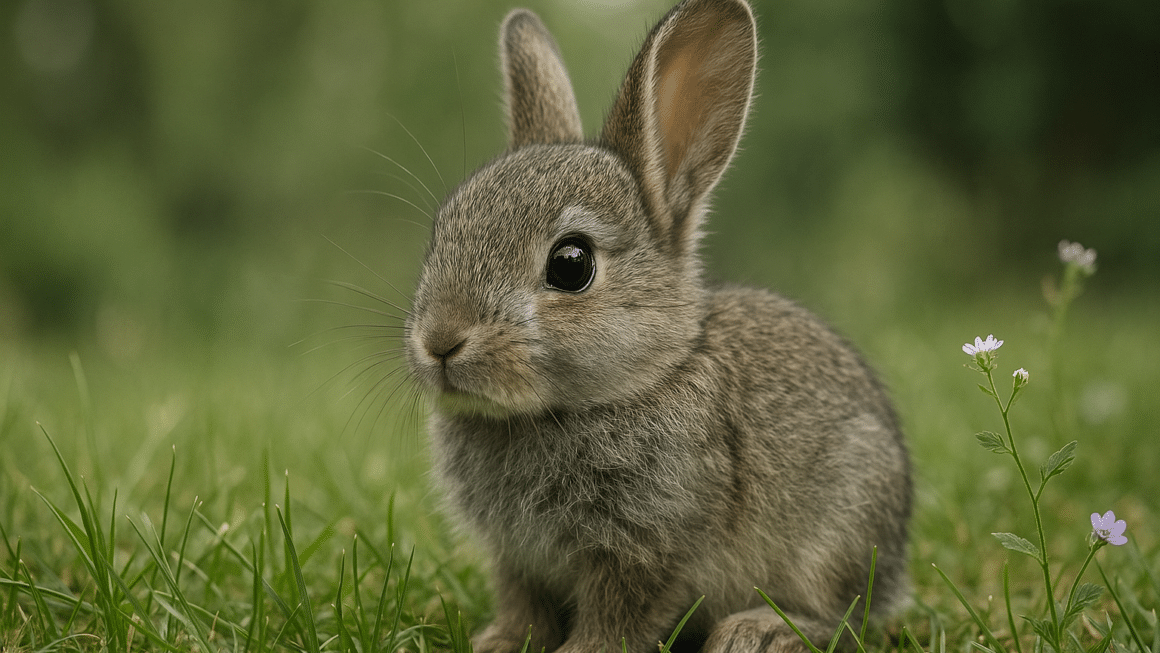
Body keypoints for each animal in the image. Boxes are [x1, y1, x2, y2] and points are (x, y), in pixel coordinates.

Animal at [401, 1, 911, 652]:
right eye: (441, 233)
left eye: (571, 265)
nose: (440, 341)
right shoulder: (516, 559)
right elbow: (523, 606)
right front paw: (499, 642)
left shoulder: (648, 547)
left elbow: (618, 615)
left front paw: (579, 651)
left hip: (840, 527)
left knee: (840, 615)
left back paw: (759, 632)